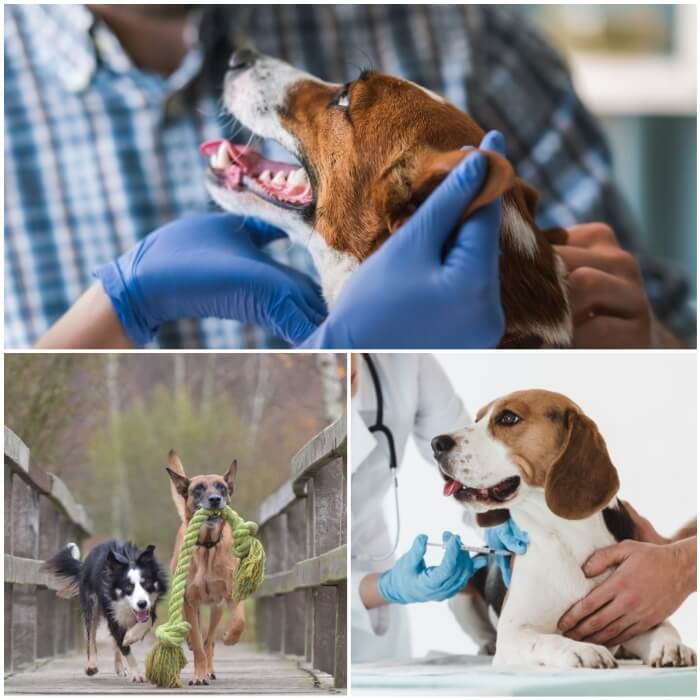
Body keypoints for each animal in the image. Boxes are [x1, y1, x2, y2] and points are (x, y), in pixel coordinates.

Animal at [44, 540, 169, 680]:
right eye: (128, 587)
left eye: (146, 584)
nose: (142, 604)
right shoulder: (111, 612)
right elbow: (124, 647)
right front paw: (136, 673)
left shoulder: (150, 606)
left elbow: (146, 621)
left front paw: (131, 636)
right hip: (91, 604)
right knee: (91, 637)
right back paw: (91, 666)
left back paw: (120, 667)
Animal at [165, 452, 247, 688]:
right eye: (199, 489)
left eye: (222, 487)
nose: (215, 499)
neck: (208, 546)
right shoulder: (189, 601)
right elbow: (197, 642)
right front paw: (198, 675)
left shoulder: (232, 594)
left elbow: (239, 621)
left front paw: (230, 637)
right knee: (199, 639)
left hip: (217, 609)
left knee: (210, 640)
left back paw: (211, 667)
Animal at [432, 392, 696, 668]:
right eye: (476, 419)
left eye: (508, 418)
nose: (436, 443)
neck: (566, 535)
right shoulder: (514, 633)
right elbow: (548, 640)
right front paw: (583, 649)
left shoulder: (635, 614)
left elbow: (664, 628)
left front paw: (671, 646)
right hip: (460, 594)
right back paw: (487, 645)